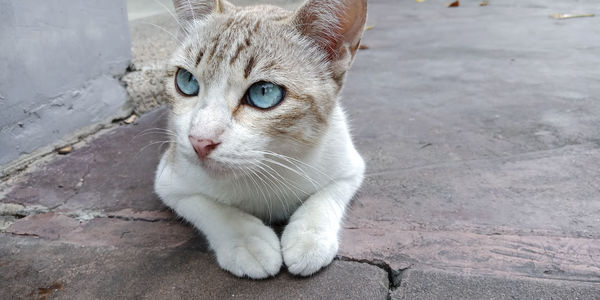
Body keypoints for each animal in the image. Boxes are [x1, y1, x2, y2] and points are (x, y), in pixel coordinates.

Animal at [155, 0, 368, 278]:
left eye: (264, 93)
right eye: (187, 81)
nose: (200, 141)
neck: (268, 169)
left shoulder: (349, 165)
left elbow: (326, 197)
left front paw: (308, 239)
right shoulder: (170, 182)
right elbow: (210, 207)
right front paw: (248, 242)